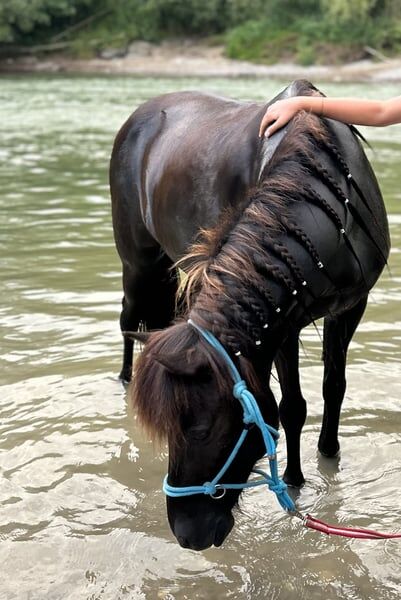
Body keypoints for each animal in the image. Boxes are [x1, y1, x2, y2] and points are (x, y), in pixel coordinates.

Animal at [109, 82, 388, 552]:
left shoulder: (350, 308)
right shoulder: (284, 325)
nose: (187, 534)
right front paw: (294, 479)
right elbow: (291, 406)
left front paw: (327, 457)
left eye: (200, 431)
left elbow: (332, 389)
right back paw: (125, 381)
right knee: (128, 323)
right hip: (139, 266)